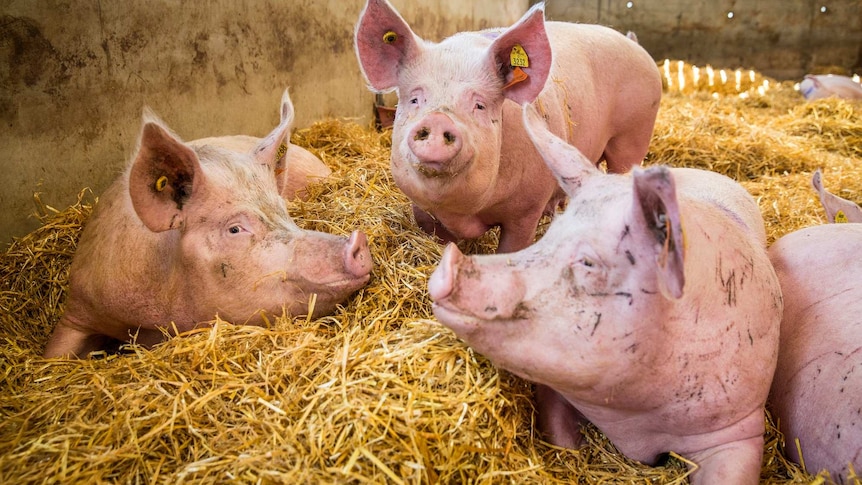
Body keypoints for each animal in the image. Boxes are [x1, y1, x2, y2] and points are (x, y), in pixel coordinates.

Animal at [354, 0, 664, 253]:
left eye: (480, 105)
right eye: (415, 99)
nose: (439, 118)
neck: (466, 213)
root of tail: (635, 44)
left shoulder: (526, 209)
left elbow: (513, 246)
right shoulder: (421, 209)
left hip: (633, 135)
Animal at [428, 104, 788, 482]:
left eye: (589, 262)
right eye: (548, 235)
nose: (448, 263)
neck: (632, 419)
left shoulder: (739, 426)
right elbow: (560, 435)